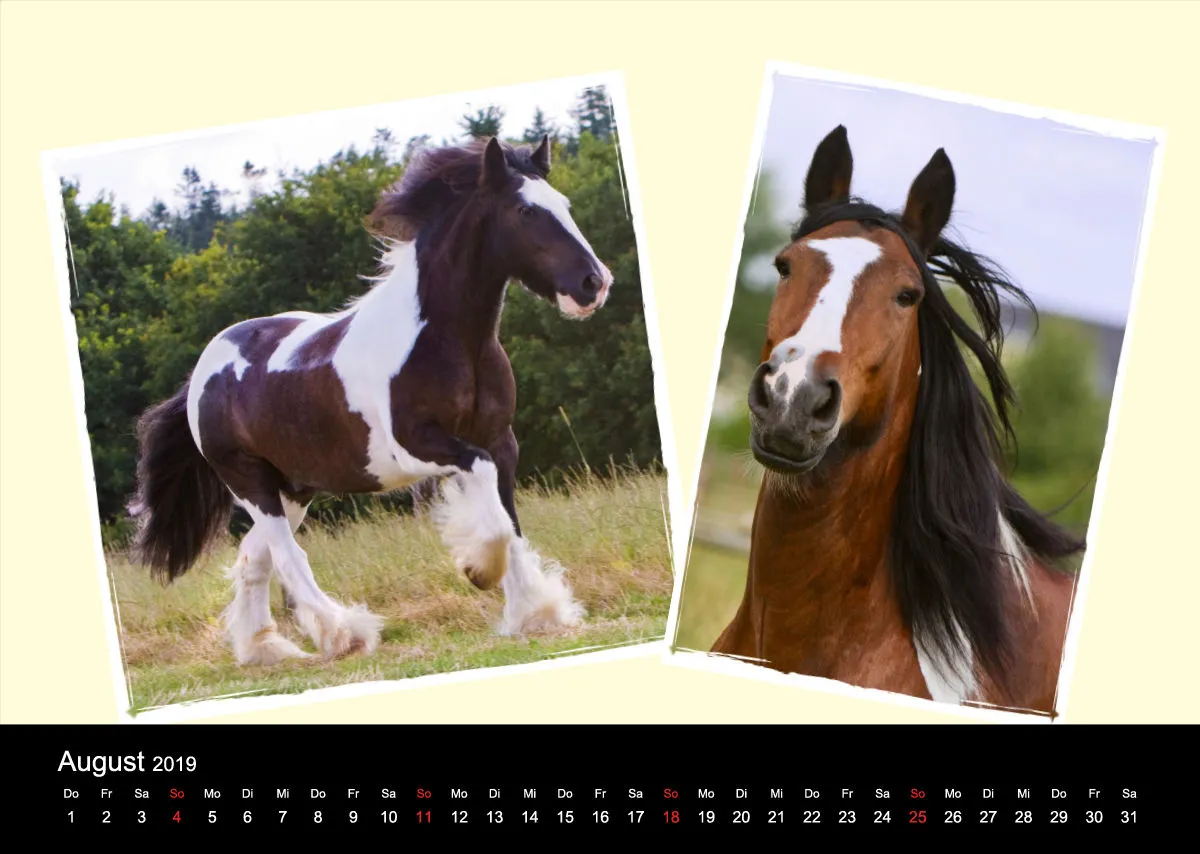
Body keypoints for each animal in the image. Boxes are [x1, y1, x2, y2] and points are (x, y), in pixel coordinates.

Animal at [130, 135, 613, 666]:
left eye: (563, 204)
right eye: (525, 211)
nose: (594, 283)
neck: (449, 341)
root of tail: (201, 373)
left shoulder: (500, 440)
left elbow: (510, 518)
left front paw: (536, 613)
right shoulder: (419, 447)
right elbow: (491, 508)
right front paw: (479, 570)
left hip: (293, 487)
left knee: (254, 558)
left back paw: (264, 649)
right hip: (248, 480)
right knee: (287, 557)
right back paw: (344, 635)